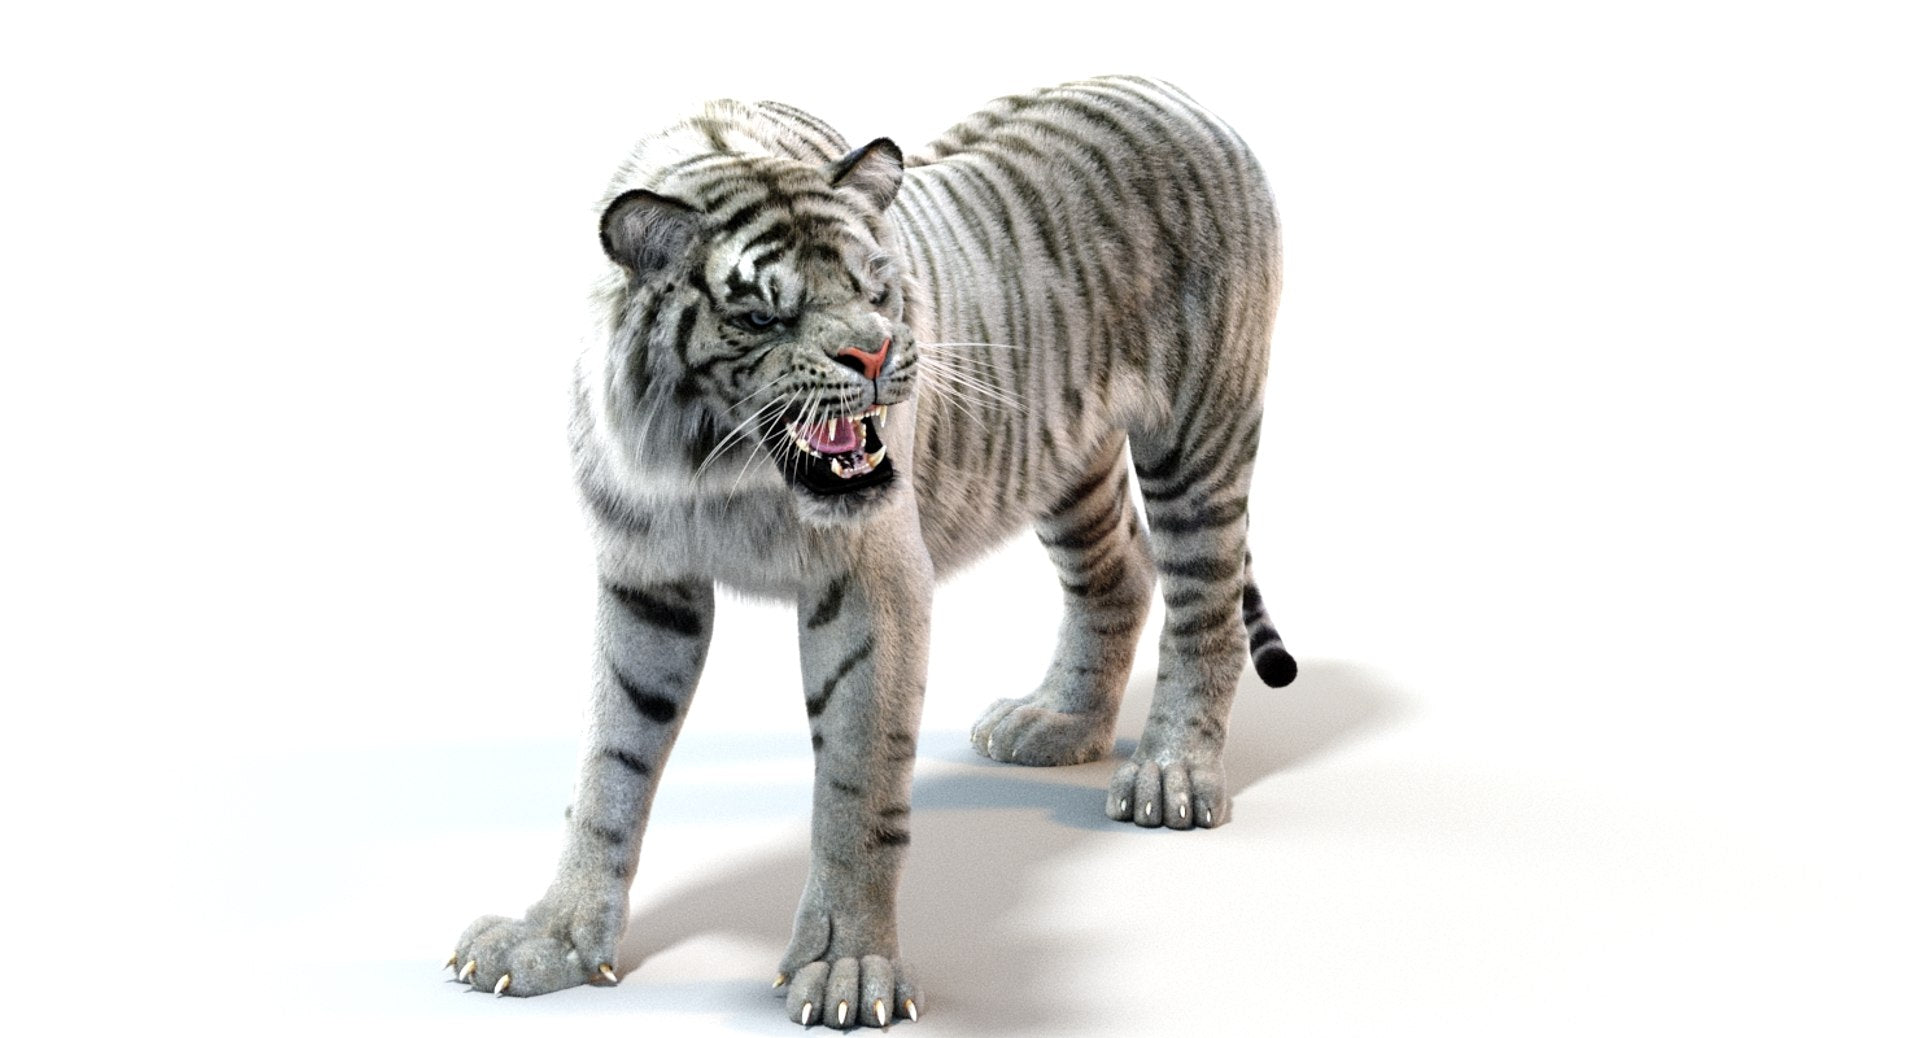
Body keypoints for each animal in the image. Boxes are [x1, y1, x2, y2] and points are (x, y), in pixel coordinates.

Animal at [450, 75, 1296, 1029]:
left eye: (877, 288)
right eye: (764, 313)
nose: (877, 350)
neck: (714, 470)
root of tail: (1169, 89)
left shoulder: (871, 583)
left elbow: (857, 784)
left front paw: (848, 969)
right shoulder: (644, 581)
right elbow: (610, 765)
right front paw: (552, 939)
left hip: (1199, 435)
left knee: (1206, 607)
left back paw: (1170, 776)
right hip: (1065, 462)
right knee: (1120, 573)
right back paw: (1056, 724)